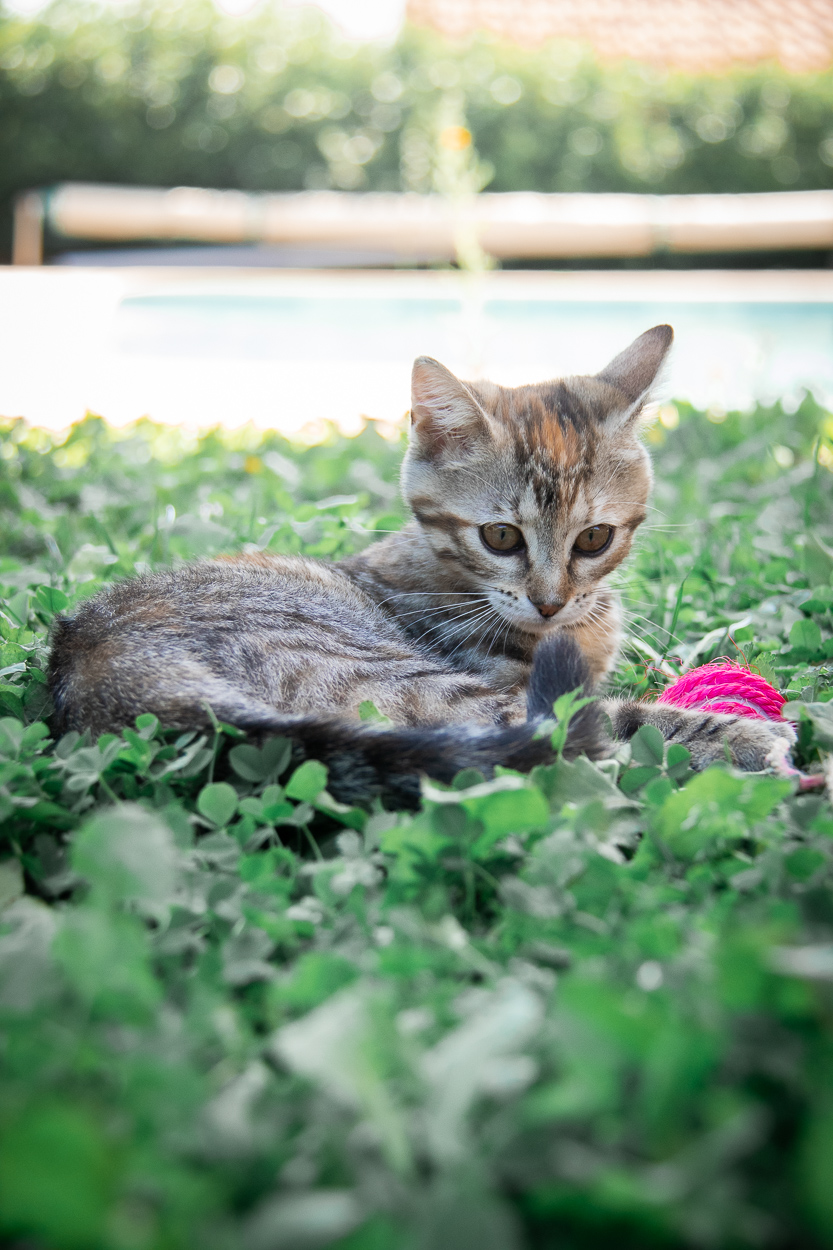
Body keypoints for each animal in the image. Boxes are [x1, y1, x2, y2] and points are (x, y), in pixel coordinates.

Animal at [46, 327, 790, 805]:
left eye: (594, 539)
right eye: (500, 536)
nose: (550, 602)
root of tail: (92, 659)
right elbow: (611, 709)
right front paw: (746, 732)